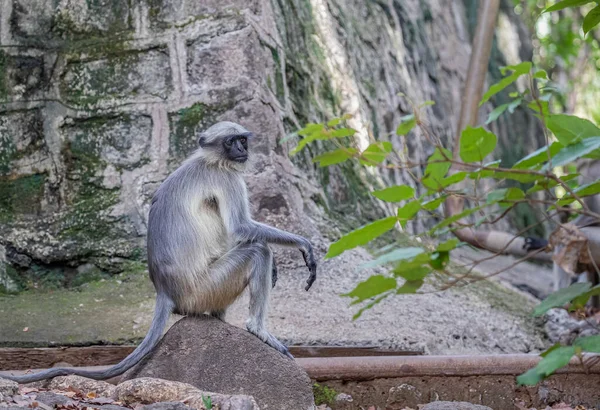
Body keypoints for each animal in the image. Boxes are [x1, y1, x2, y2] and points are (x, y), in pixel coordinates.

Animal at [5, 120, 318, 382]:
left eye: (242, 140)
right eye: (231, 142)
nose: (242, 149)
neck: (209, 160)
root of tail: (165, 290)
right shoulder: (225, 178)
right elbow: (240, 228)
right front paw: (303, 244)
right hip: (203, 289)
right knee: (258, 251)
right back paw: (256, 328)